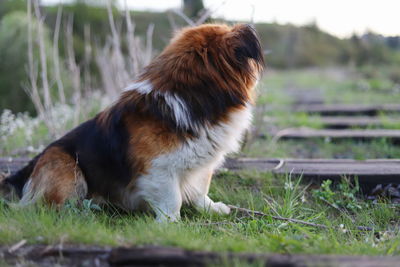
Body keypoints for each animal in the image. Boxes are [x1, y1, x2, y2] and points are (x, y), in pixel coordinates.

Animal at [3, 24, 266, 222]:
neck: (192, 99)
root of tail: (28, 168)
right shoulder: (158, 169)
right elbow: (172, 199)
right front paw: (170, 224)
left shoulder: (201, 166)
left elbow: (201, 190)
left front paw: (211, 208)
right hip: (69, 170)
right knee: (46, 207)